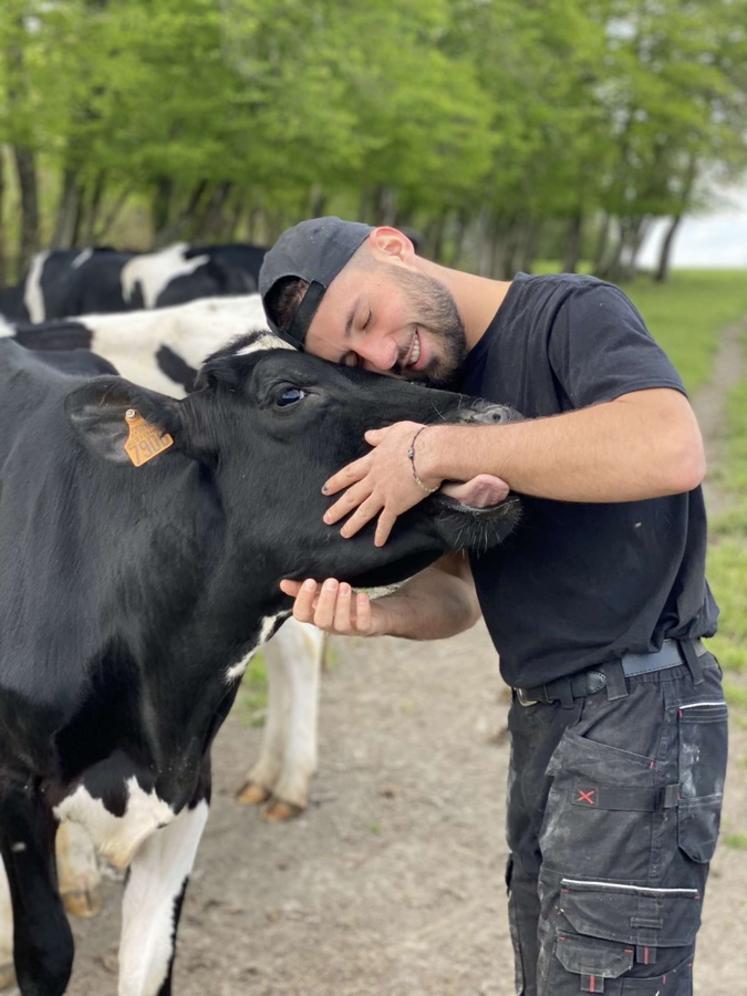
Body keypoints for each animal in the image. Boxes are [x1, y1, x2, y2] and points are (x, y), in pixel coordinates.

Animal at [0, 336, 520, 996]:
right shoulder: (16, 788)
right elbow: (46, 954)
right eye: (287, 393)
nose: (499, 416)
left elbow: (150, 960)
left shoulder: (190, 785)